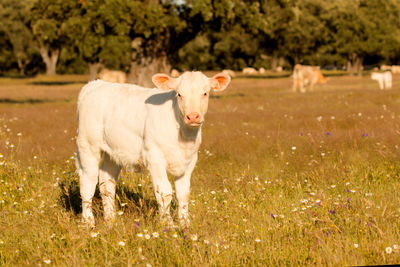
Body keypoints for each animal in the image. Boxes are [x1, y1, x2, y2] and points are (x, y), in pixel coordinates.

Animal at [76, 71, 231, 228]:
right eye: (179, 94)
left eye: (205, 93)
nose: (193, 116)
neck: (184, 135)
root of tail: (95, 84)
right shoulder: (154, 157)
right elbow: (164, 192)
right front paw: (168, 224)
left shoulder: (190, 160)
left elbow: (183, 193)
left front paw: (185, 224)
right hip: (87, 145)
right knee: (88, 181)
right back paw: (88, 222)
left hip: (114, 151)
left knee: (106, 182)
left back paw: (111, 220)